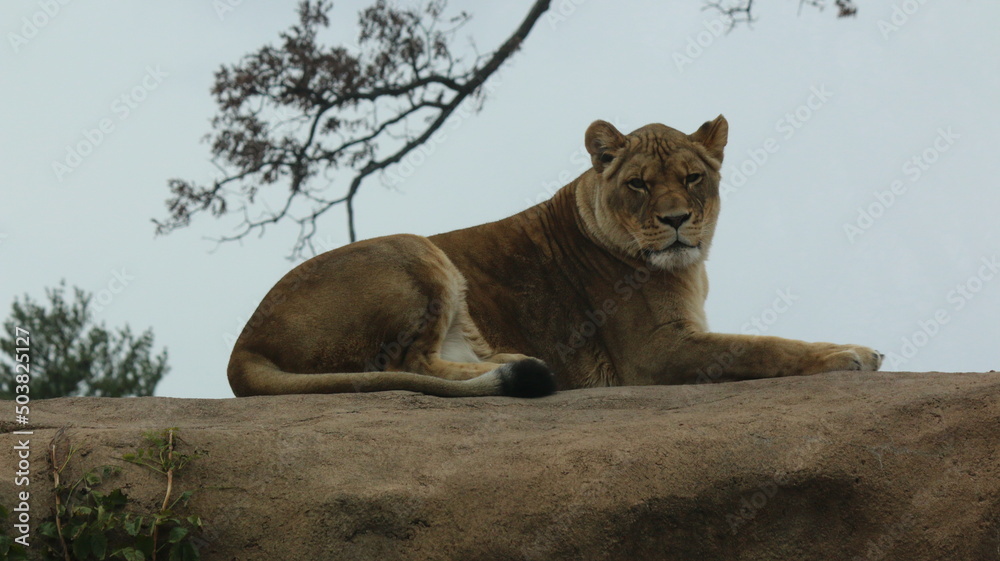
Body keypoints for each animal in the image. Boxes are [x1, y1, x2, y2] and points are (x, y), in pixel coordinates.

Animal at [227, 116, 882, 398]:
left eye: (693, 178)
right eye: (639, 184)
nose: (676, 221)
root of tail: (244, 344)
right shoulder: (656, 352)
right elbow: (763, 347)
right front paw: (849, 354)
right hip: (416, 250)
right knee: (410, 363)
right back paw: (524, 366)